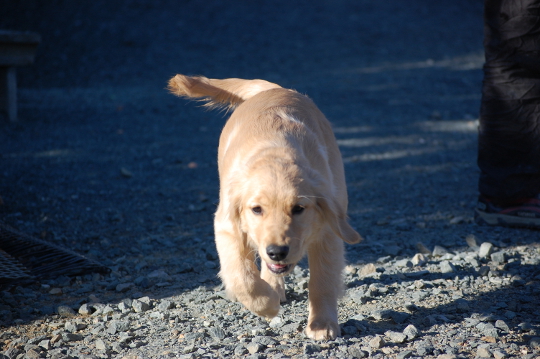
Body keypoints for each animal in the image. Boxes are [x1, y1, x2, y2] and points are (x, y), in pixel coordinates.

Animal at [169, 75, 362, 340]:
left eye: (299, 208)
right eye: (256, 209)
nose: (277, 252)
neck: (276, 154)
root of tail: (275, 89)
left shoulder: (328, 230)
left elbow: (322, 281)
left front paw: (322, 324)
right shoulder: (227, 226)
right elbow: (243, 278)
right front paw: (267, 305)